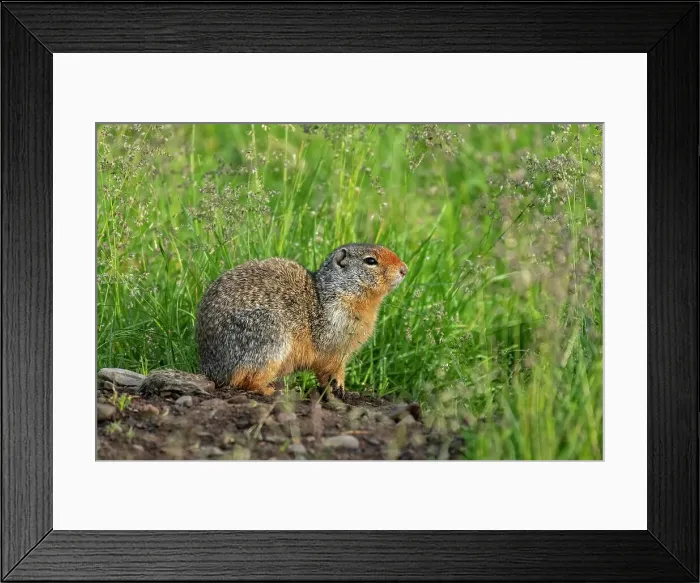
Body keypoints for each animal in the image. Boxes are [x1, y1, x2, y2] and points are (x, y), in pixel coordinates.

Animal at [194, 243, 408, 397]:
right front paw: (339, 386)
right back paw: (269, 390)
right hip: (268, 336)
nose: (404, 269)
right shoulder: (335, 337)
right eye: (370, 261)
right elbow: (332, 366)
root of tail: (210, 366)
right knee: (243, 380)